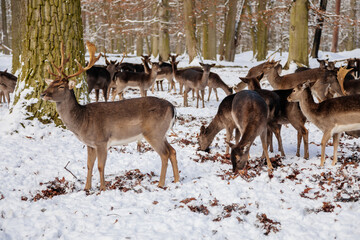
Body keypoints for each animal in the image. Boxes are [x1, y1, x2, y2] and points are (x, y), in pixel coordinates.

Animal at [41, 41, 180, 191]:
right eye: (51, 83)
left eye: (61, 86)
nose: (43, 94)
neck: (83, 121)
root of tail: (173, 108)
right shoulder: (90, 144)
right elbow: (89, 165)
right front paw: (87, 188)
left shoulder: (102, 140)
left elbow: (100, 166)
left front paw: (102, 188)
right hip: (162, 133)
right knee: (173, 151)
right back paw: (176, 180)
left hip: (153, 132)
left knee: (164, 154)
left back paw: (161, 183)